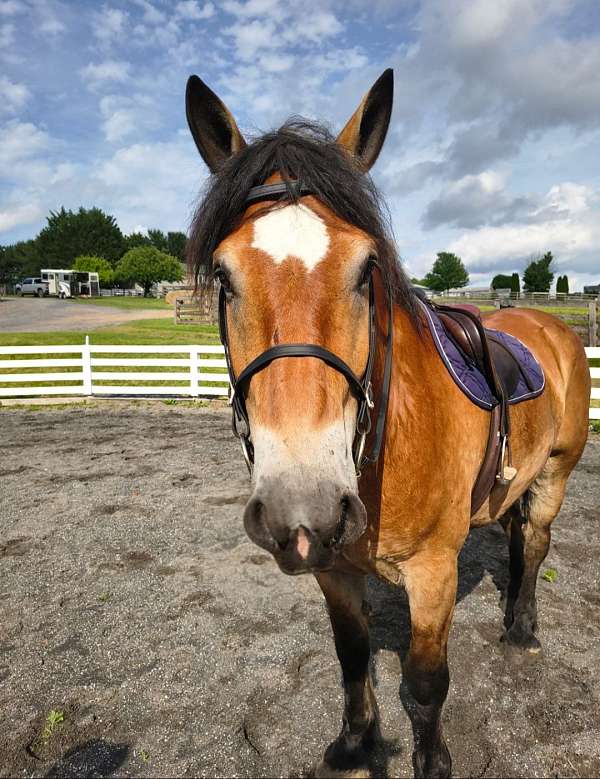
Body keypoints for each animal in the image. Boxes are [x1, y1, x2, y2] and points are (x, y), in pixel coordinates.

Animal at [184, 70, 591, 778]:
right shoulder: (333, 570)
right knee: (518, 541)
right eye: (225, 278)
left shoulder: (434, 574)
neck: (383, 445)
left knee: (537, 542)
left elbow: (427, 683)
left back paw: (521, 630)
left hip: (557, 475)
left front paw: (432, 760)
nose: (303, 506)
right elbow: (352, 658)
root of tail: (550, 324)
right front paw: (356, 744)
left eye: (365, 269)